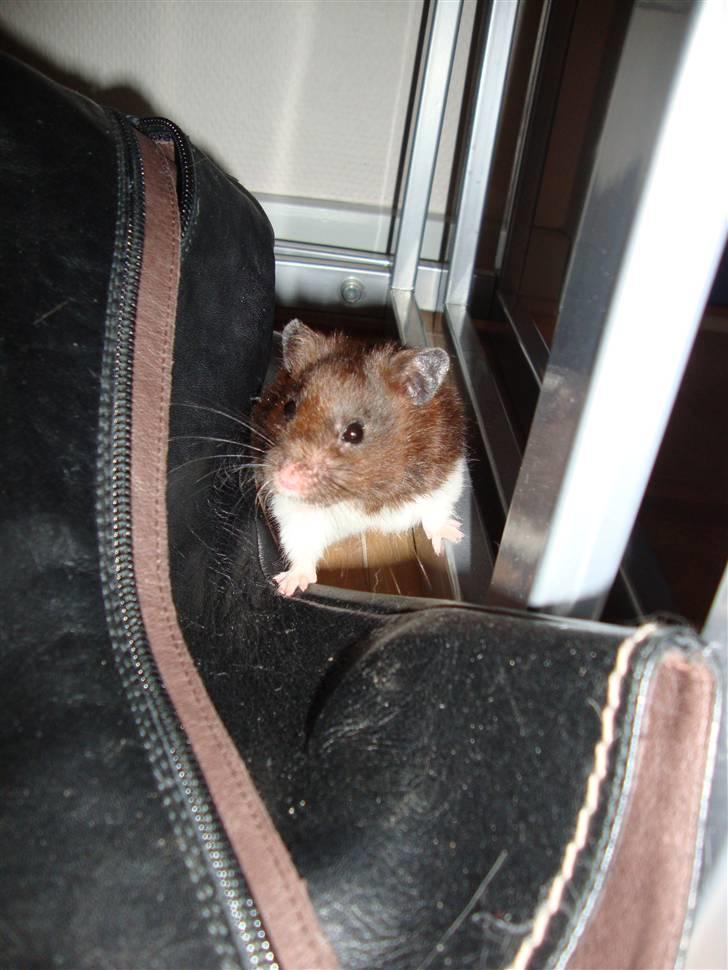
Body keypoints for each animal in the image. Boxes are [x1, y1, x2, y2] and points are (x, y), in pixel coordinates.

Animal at [252, 319, 466, 596]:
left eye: (354, 432)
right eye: (288, 408)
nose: (284, 479)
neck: (356, 495)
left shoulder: (443, 478)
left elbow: (437, 511)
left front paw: (455, 536)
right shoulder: (293, 512)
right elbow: (300, 544)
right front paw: (287, 587)